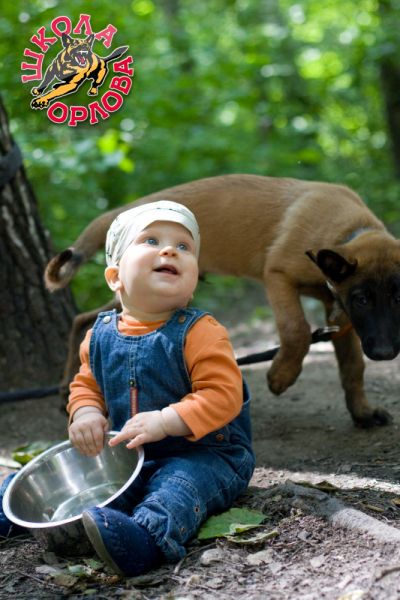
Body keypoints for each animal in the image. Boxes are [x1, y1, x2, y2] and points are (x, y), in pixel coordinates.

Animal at [45, 174, 400, 427]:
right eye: (362, 299)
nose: (385, 353)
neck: (347, 230)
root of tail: (125, 211)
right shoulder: (278, 275)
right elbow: (296, 329)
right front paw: (281, 375)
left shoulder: (338, 310)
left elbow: (353, 366)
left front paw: (362, 412)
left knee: (84, 319)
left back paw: (66, 386)